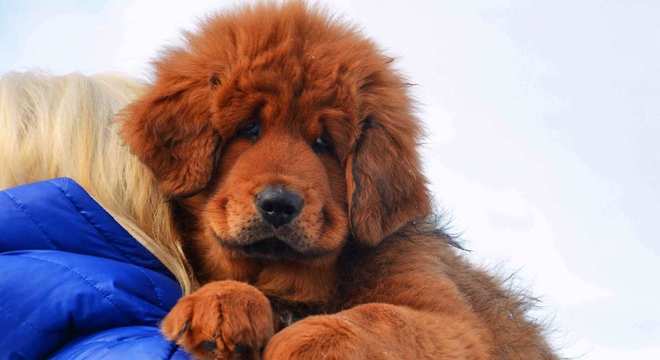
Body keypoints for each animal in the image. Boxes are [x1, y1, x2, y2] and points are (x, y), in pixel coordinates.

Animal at [120, 2, 556, 360]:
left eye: (323, 143)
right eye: (249, 128)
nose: (279, 205)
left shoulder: (453, 322)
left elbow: (379, 317)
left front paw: (302, 340)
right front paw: (220, 303)